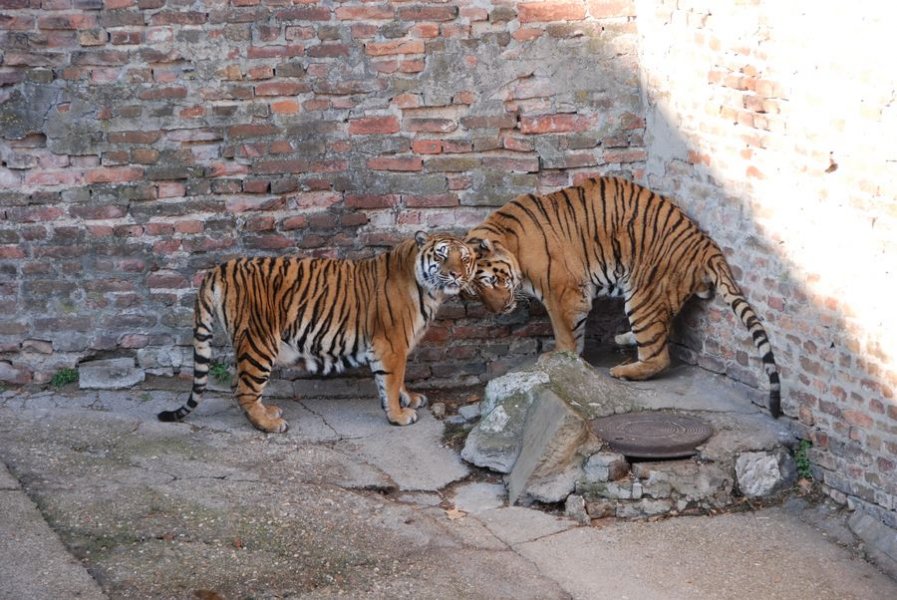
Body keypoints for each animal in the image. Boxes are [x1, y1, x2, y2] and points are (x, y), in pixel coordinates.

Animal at [158, 232, 476, 434]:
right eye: (441, 256)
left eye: (465, 259)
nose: (456, 275)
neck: (431, 291)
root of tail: (220, 268)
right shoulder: (391, 344)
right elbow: (391, 380)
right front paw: (398, 415)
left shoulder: (398, 346)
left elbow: (398, 380)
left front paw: (409, 398)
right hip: (260, 340)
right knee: (243, 387)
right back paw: (269, 425)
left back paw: (268, 413)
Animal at [466, 173, 780, 418]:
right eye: (473, 292)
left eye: (491, 280)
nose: (499, 309)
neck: (511, 243)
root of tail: (705, 244)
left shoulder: (564, 294)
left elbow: (565, 334)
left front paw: (559, 361)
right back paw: (624, 339)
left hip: (643, 295)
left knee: (659, 356)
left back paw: (623, 371)